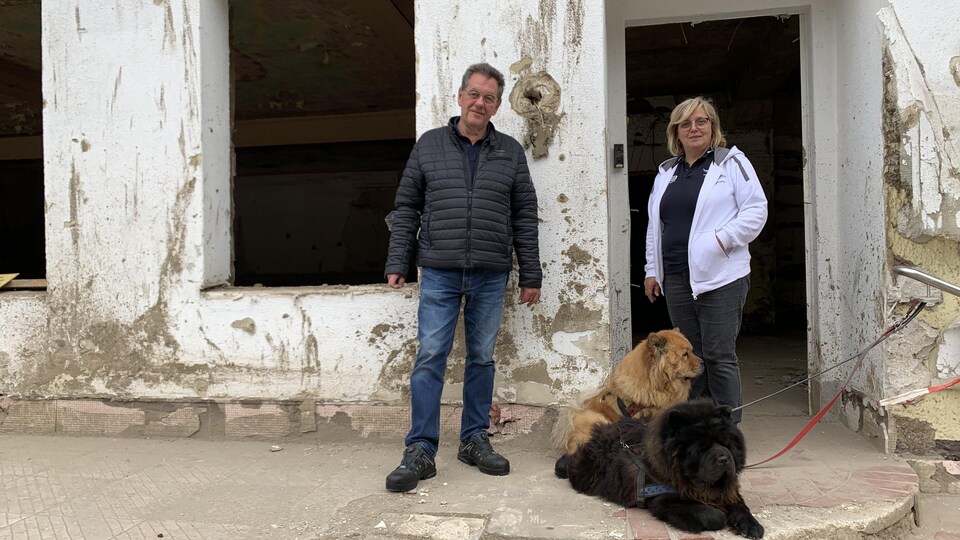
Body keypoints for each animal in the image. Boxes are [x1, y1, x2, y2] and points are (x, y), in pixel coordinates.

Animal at [560, 398, 760, 536]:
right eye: (701, 448)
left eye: (725, 443)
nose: (724, 458)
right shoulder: (665, 502)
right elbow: (714, 515)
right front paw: (721, 515)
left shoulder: (727, 490)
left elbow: (740, 506)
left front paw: (752, 526)